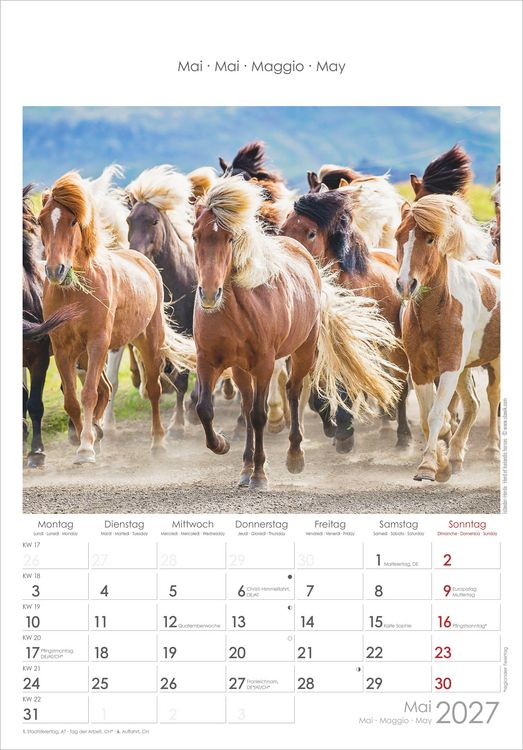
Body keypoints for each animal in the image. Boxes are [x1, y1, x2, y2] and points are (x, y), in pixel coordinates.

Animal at [39, 171, 195, 464]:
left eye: (73, 220)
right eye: (41, 220)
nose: (56, 270)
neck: (76, 291)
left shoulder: (98, 342)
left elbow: (88, 394)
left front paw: (86, 449)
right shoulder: (63, 347)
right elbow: (72, 401)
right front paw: (87, 438)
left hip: (149, 340)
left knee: (153, 388)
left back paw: (159, 442)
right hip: (85, 355)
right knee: (107, 388)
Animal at [281, 189, 411, 451]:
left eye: (310, 233)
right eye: (283, 227)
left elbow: (344, 386)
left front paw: (344, 433)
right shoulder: (317, 349)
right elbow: (319, 392)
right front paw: (332, 427)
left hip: (397, 350)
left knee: (401, 388)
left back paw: (403, 435)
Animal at [395, 194, 500, 482]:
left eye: (430, 239)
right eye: (398, 236)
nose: (405, 285)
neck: (435, 313)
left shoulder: (450, 367)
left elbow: (436, 414)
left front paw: (428, 467)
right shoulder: (420, 370)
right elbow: (427, 417)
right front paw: (441, 461)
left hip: (492, 363)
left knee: (492, 397)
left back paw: (493, 450)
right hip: (465, 368)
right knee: (473, 405)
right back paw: (455, 455)